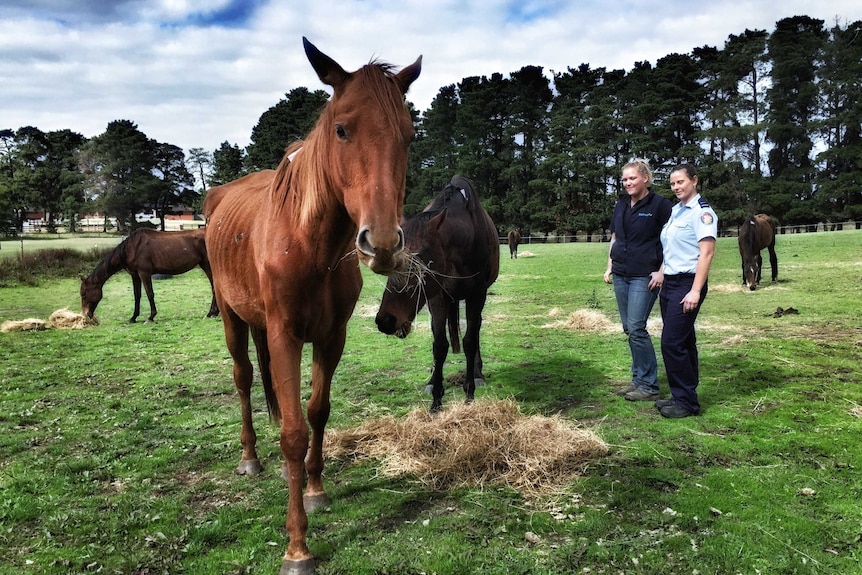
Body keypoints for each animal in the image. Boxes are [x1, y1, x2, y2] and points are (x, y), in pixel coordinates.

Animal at [80, 227, 219, 322]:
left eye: (84, 294)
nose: (86, 315)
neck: (132, 248)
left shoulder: (144, 273)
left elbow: (149, 293)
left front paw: (151, 317)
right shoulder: (135, 275)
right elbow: (137, 295)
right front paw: (133, 317)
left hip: (207, 265)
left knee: (214, 287)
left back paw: (210, 313)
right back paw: (214, 312)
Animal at [202, 37, 418, 575]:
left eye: (408, 136)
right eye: (341, 130)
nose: (383, 243)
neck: (309, 245)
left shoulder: (330, 335)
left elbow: (317, 412)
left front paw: (316, 488)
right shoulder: (285, 335)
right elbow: (294, 433)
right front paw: (298, 546)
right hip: (234, 320)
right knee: (243, 380)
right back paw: (251, 458)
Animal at [376, 176, 500, 414]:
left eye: (420, 261)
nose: (385, 320)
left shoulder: (477, 295)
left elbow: (470, 341)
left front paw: (469, 393)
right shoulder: (437, 297)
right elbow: (440, 345)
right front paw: (436, 400)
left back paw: (477, 374)